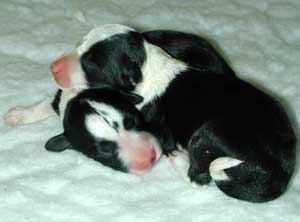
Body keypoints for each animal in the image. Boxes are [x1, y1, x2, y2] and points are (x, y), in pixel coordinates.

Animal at [4, 24, 296, 203]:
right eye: (79, 44)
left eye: (90, 64)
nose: (53, 67)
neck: (151, 67)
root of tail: (277, 174)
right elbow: (50, 101)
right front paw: (18, 115)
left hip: (207, 136)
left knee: (199, 177)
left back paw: (181, 160)